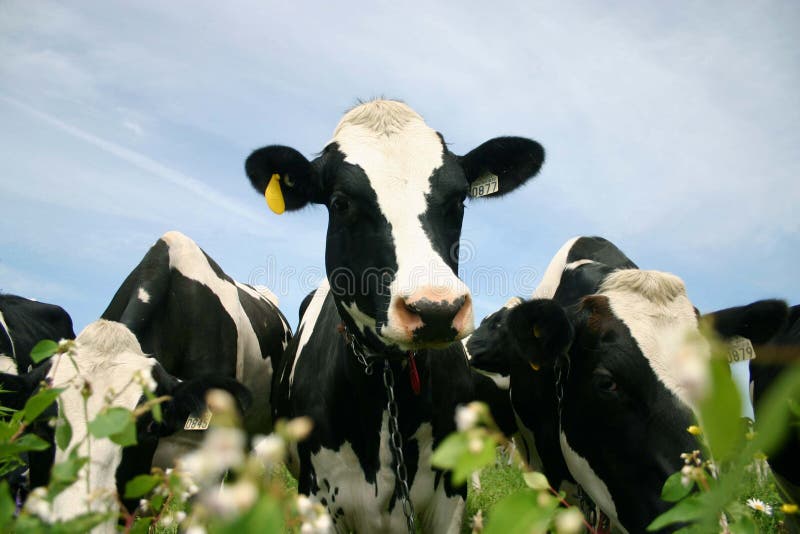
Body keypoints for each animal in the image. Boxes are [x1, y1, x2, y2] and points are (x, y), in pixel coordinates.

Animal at [244, 99, 544, 532]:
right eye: (340, 203)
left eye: (459, 201)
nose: (436, 308)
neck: (388, 382)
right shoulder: (316, 496)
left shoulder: (448, 498)